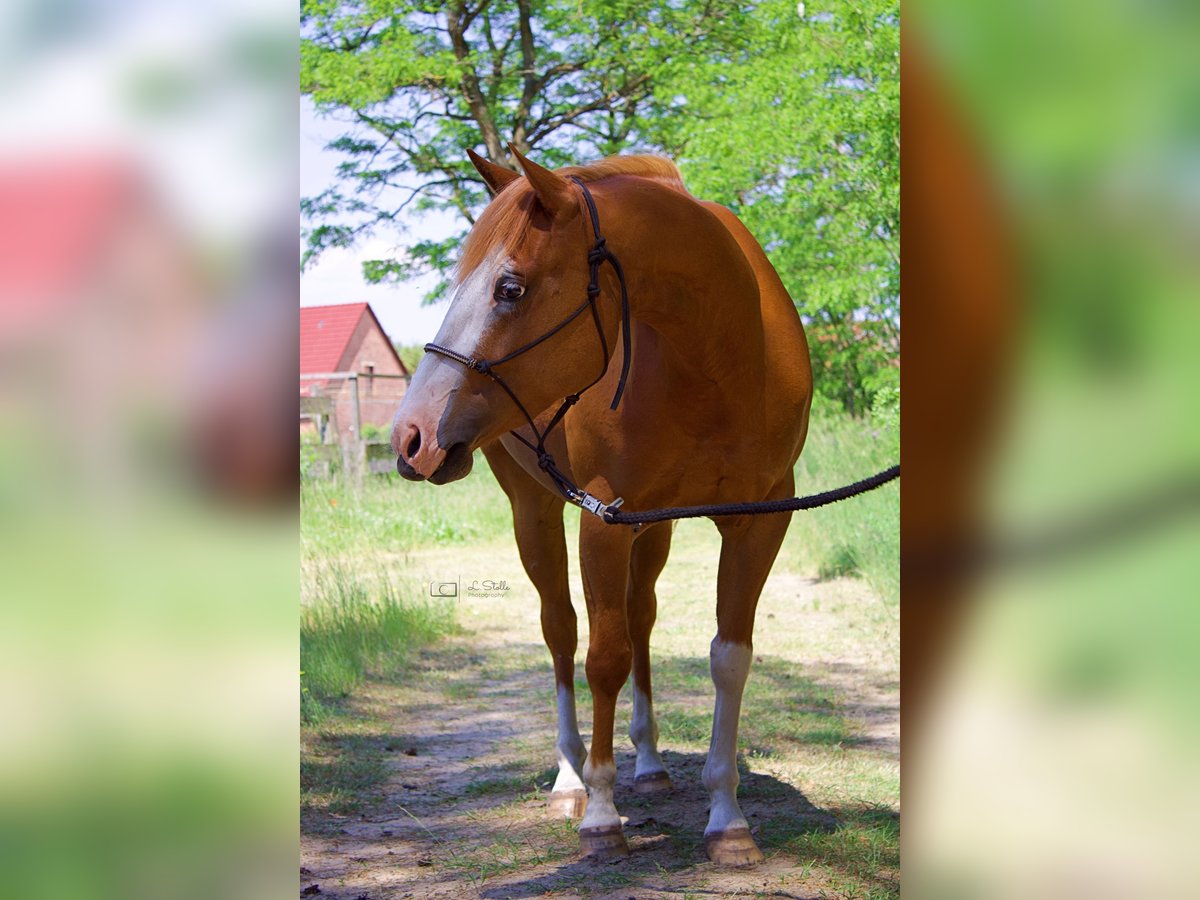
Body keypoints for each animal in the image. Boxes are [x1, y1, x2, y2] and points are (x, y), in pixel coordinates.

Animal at [388, 148, 811, 868]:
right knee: (561, 629)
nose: (412, 436)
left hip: (654, 528)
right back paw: (569, 779)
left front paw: (727, 818)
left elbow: (729, 656)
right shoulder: (601, 521)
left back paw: (650, 763)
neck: (719, 357)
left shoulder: (759, 519)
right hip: (534, 510)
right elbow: (602, 657)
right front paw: (602, 813)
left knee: (641, 620)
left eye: (510, 288)